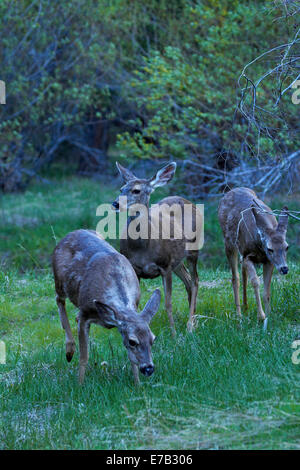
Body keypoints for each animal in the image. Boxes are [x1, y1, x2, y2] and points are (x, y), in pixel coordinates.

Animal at [51, 229, 162, 384]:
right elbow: (84, 356)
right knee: (59, 300)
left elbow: (131, 359)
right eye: (132, 341)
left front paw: (138, 384)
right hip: (59, 281)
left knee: (72, 314)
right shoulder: (85, 312)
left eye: (153, 339)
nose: (149, 368)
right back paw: (69, 350)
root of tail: (70, 234)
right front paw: (80, 384)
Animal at [112, 163, 204, 336]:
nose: (115, 204)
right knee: (188, 280)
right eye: (121, 189)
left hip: (193, 249)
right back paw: (193, 320)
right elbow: (135, 306)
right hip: (177, 260)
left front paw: (174, 335)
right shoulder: (135, 268)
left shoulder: (165, 265)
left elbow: (168, 303)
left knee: (195, 280)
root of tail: (188, 201)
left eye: (136, 190)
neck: (142, 249)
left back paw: (190, 325)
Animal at [218, 187, 288, 326]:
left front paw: (269, 315)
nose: (284, 268)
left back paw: (245, 307)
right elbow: (255, 282)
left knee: (242, 271)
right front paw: (261, 316)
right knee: (235, 277)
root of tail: (229, 191)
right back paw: (239, 315)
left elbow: (267, 289)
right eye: (270, 249)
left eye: (287, 247)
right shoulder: (248, 256)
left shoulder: (268, 261)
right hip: (228, 242)